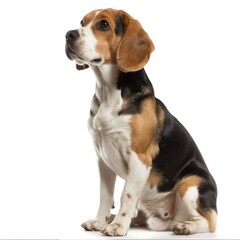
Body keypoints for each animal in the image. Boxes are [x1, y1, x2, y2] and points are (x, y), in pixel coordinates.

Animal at [65, 7, 218, 236]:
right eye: (82, 22)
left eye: (103, 25)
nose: (69, 35)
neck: (108, 93)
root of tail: (170, 220)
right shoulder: (102, 159)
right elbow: (105, 195)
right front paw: (101, 221)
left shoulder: (139, 158)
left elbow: (126, 194)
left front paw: (118, 226)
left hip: (191, 184)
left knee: (209, 222)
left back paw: (186, 226)